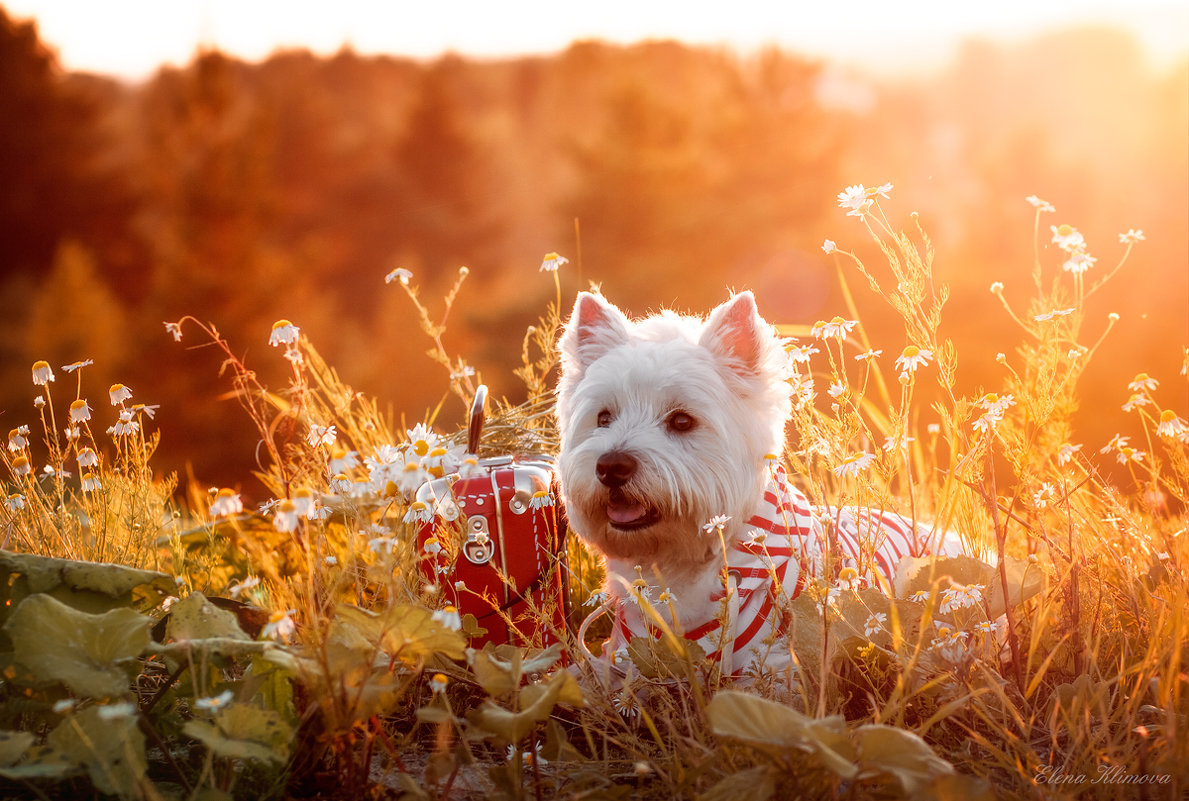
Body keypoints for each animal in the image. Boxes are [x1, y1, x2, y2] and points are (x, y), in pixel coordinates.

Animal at [556, 288, 965, 675]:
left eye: (682, 420)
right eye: (603, 417)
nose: (611, 466)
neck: (682, 560)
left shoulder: (774, 667)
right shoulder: (624, 658)